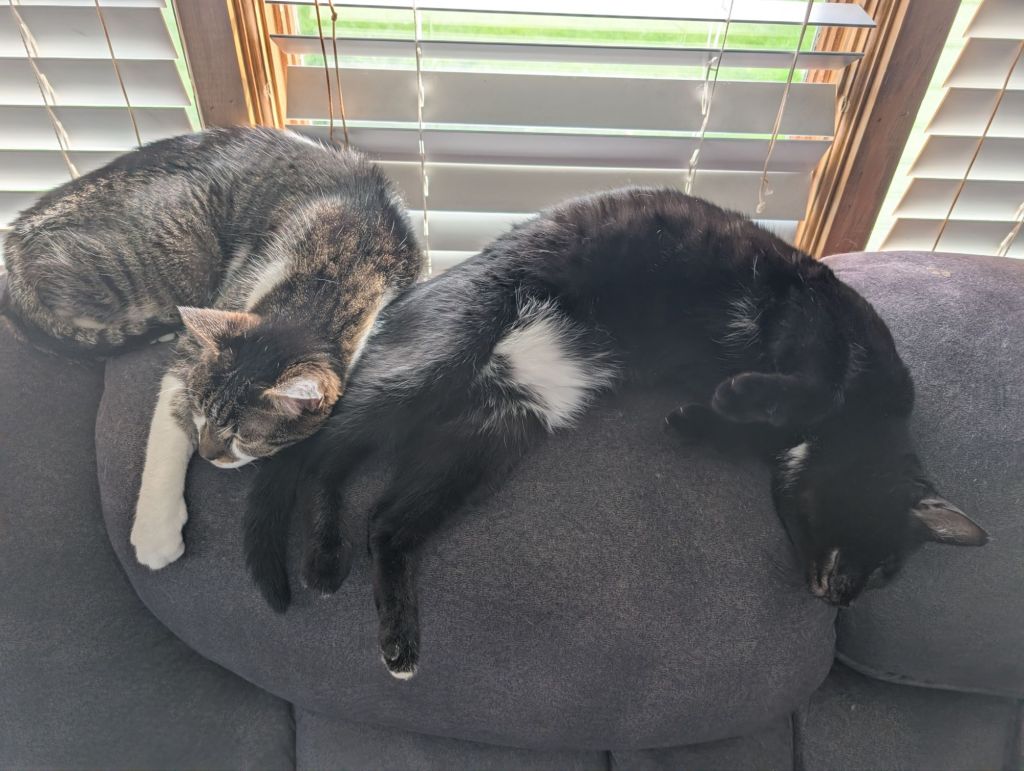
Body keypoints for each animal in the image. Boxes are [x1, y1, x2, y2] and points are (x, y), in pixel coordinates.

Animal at [2, 126, 423, 570]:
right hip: (178, 252)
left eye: (242, 438)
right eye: (202, 413)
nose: (206, 455)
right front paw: (155, 532)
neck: (338, 264)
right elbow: (170, 416)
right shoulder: (218, 320)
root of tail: (14, 242)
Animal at [243, 187, 988, 679]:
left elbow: (737, 426)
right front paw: (737, 396)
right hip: (436, 361)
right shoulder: (814, 320)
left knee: (388, 524)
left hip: (493, 431)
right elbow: (811, 385)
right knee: (322, 456)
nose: (842, 596)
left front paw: (696, 419)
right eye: (887, 565)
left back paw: (399, 638)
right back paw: (324, 557)